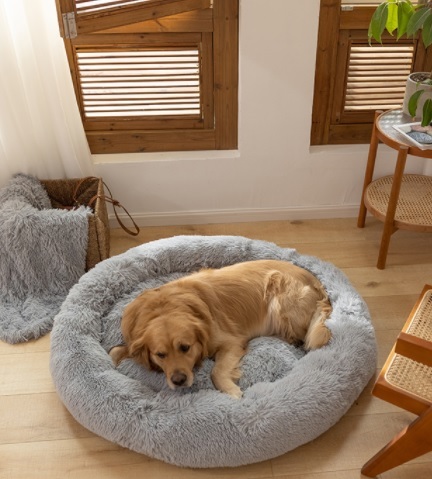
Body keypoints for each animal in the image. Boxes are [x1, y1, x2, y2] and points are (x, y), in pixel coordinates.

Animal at [109, 259, 332, 398]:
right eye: (160, 354)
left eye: (185, 348)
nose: (179, 380)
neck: (165, 308)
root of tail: (317, 282)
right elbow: (115, 350)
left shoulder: (231, 342)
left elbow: (216, 372)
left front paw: (231, 391)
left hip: (280, 296)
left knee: (300, 338)